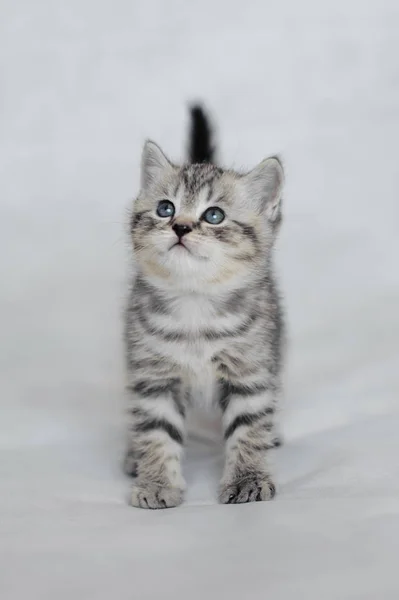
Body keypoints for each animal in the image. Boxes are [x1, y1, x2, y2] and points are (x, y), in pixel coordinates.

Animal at [125, 105, 284, 508]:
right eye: (165, 208)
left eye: (214, 215)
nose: (180, 227)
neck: (195, 303)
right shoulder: (154, 374)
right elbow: (156, 430)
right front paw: (157, 483)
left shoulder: (250, 370)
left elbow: (249, 427)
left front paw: (247, 478)